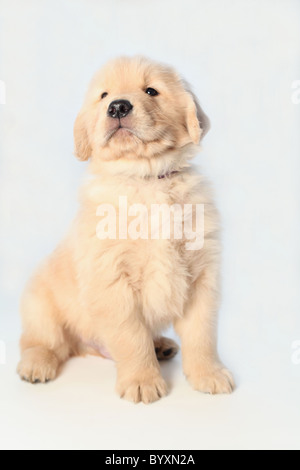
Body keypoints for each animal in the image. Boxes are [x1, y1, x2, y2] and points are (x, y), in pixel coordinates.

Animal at [17, 56, 236, 404]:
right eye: (104, 95)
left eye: (151, 90)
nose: (118, 106)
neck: (146, 179)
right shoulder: (112, 279)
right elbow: (132, 337)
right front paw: (142, 381)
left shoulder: (202, 275)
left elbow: (202, 333)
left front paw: (208, 374)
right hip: (39, 304)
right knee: (40, 341)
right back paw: (37, 364)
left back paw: (161, 345)